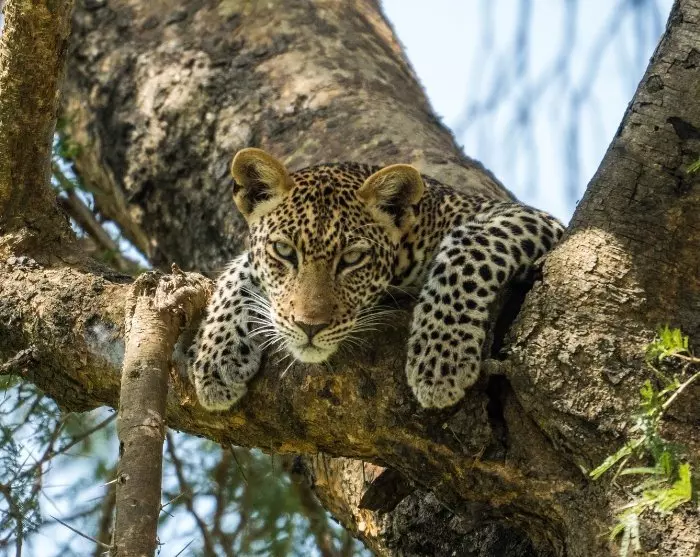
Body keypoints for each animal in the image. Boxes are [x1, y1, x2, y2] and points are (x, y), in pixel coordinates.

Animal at [187, 148, 564, 410]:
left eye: (352, 258)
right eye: (283, 251)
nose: (309, 327)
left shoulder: (524, 217)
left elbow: (467, 245)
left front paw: (440, 358)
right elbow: (237, 272)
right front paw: (216, 357)